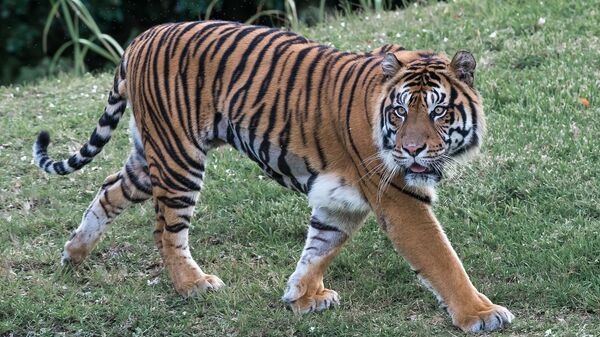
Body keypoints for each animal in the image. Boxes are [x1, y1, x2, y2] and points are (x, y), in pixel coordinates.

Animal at [31, 20, 516, 330]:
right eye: (400, 112)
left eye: (437, 111)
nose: (412, 149)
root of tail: (138, 39)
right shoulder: (400, 198)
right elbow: (442, 259)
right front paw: (480, 314)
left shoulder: (340, 199)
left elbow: (320, 247)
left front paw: (301, 296)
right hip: (179, 159)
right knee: (166, 230)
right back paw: (193, 285)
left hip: (151, 158)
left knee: (109, 189)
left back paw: (74, 254)